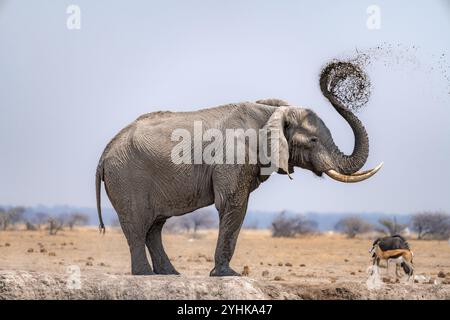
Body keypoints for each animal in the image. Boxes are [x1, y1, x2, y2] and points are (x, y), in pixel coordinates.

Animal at [96, 91, 382, 276]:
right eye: (313, 140)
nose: (331, 84)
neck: (270, 114)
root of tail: (105, 152)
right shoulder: (232, 156)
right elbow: (233, 204)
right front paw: (228, 275)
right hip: (127, 178)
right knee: (138, 225)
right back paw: (144, 275)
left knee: (154, 226)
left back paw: (168, 274)